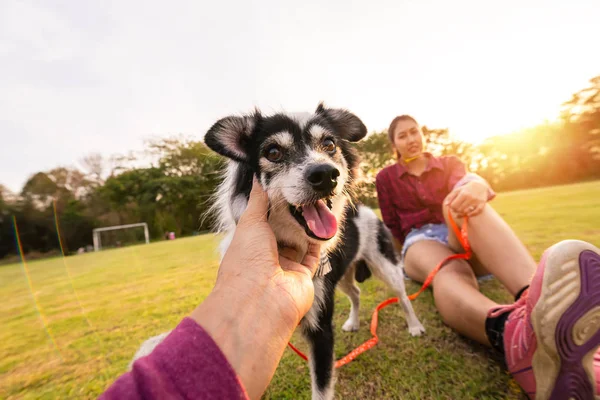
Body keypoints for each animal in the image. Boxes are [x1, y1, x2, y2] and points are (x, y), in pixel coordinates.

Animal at [131, 104, 424, 400]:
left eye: (330, 144)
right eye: (273, 152)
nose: (326, 175)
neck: (290, 241)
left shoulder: (321, 329)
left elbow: (321, 388)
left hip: (384, 264)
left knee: (402, 297)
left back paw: (414, 326)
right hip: (340, 277)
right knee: (355, 292)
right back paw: (353, 322)